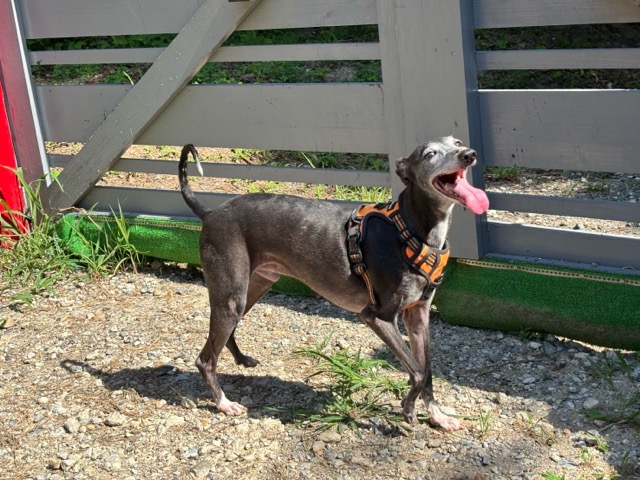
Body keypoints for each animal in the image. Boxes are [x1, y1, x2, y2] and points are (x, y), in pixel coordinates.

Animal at [178, 137, 489, 431]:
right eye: (430, 154)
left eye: (457, 142)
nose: (469, 154)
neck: (410, 230)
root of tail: (210, 213)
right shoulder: (376, 316)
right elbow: (418, 371)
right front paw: (408, 408)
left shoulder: (418, 316)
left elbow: (428, 372)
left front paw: (438, 416)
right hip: (232, 292)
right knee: (205, 359)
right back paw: (223, 402)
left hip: (256, 285)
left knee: (224, 335)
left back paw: (241, 360)